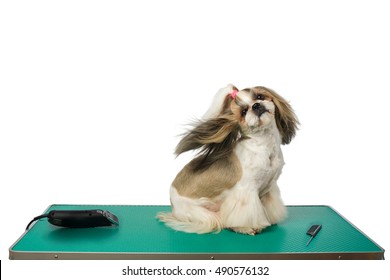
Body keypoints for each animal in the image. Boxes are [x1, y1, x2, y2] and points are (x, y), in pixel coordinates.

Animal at [157, 84, 298, 235]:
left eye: (259, 96)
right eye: (243, 112)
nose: (256, 105)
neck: (264, 146)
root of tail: (172, 202)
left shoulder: (268, 190)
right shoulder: (246, 192)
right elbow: (245, 213)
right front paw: (247, 227)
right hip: (202, 212)